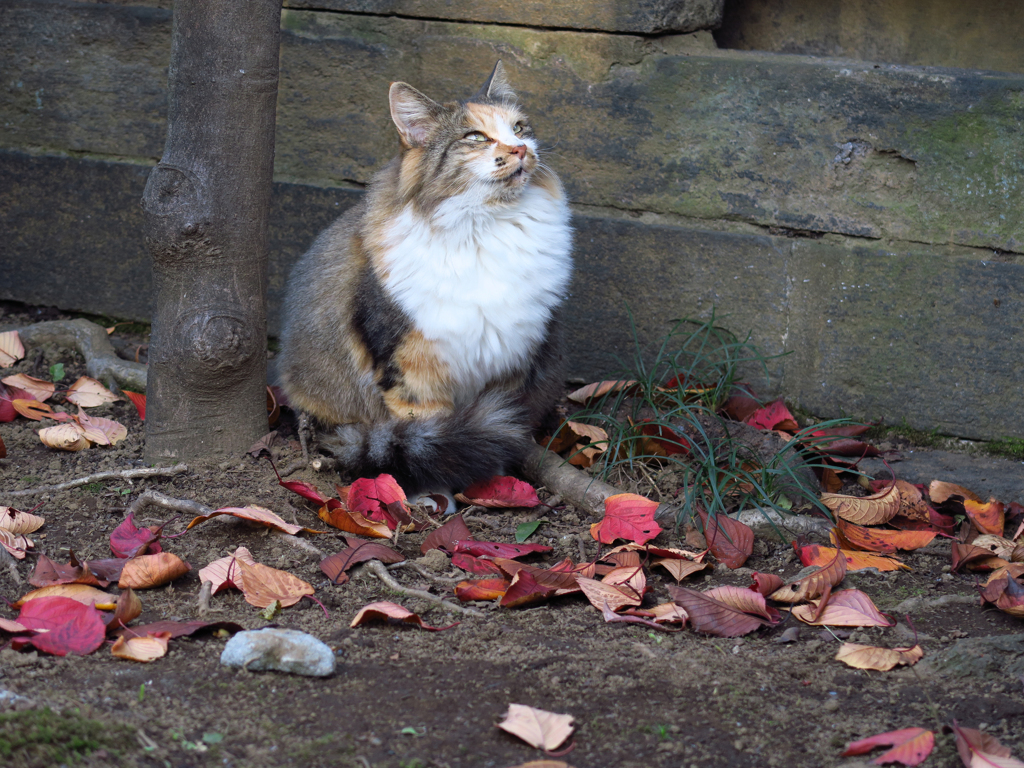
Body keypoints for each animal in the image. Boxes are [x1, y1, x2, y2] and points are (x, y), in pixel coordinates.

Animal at [276, 58, 573, 493]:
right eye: (475, 137)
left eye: (519, 128)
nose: (520, 148)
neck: (484, 227)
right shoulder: (411, 369)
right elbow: (430, 435)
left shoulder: (510, 365)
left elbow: (500, 421)